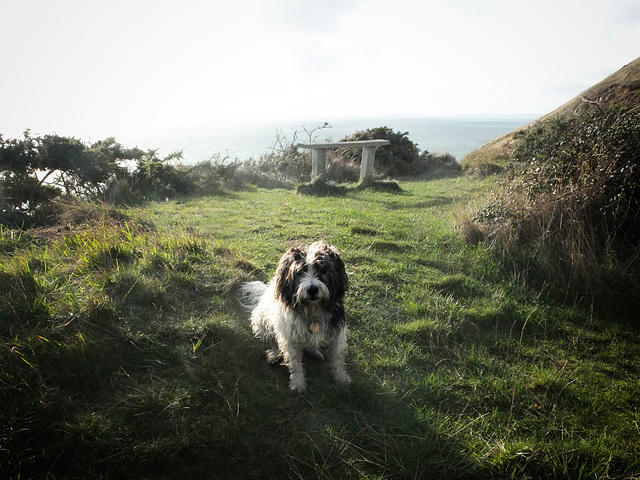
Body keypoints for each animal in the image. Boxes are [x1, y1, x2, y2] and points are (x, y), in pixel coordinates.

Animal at [240, 242, 350, 392]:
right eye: (299, 272)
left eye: (322, 270)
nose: (312, 289)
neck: (312, 310)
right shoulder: (289, 336)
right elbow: (295, 362)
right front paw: (298, 383)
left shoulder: (337, 330)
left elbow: (337, 356)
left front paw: (341, 378)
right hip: (262, 323)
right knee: (273, 341)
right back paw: (274, 354)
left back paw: (315, 351)